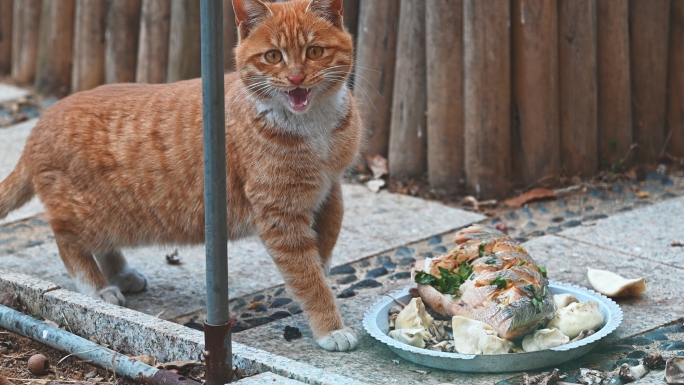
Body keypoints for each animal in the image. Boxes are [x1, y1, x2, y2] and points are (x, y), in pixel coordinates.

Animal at [0, 0, 360, 352]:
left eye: (315, 51)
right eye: (273, 56)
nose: (297, 78)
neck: (313, 128)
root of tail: (39, 125)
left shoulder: (330, 189)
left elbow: (329, 237)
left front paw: (326, 267)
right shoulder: (280, 215)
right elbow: (308, 278)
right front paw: (331, 327)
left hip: (111, 217)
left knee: (101, 245)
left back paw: (122, 274)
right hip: (83, 214)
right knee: (68, 241)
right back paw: (98, 287)